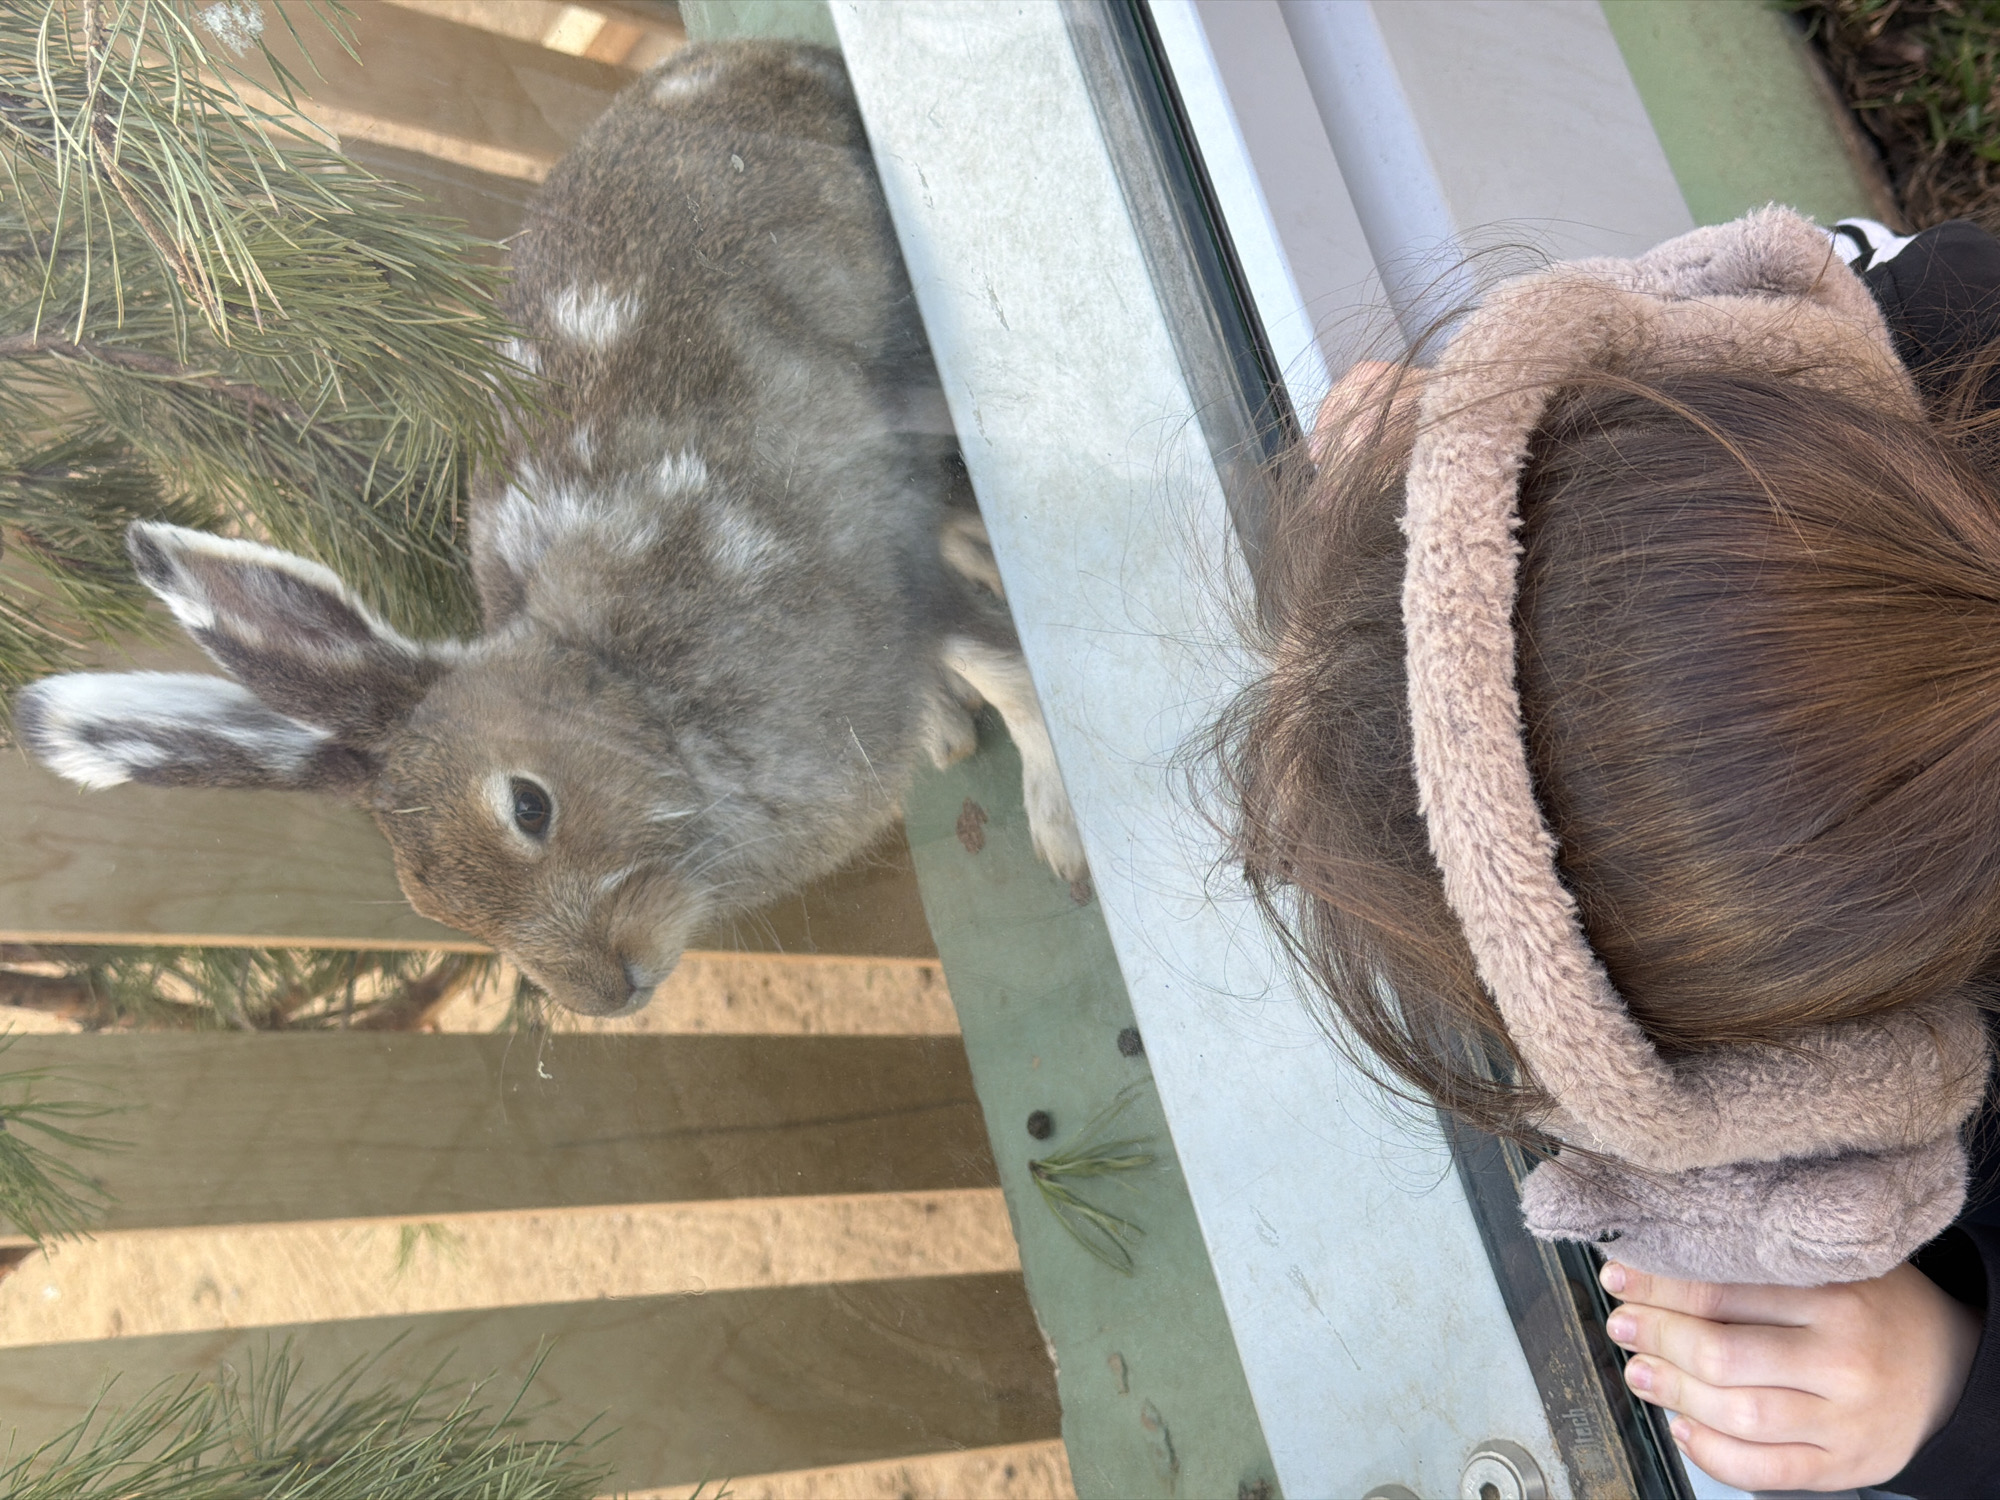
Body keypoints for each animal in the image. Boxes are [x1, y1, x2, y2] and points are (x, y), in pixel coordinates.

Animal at [13, 41, 1086, 1016]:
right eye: (433, 906)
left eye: (530, 806)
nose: (607, 995)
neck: (637, 698)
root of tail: (759, 56)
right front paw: (962, 734)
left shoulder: (877, 566)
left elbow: (1010, 671)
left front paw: (1065, 833)